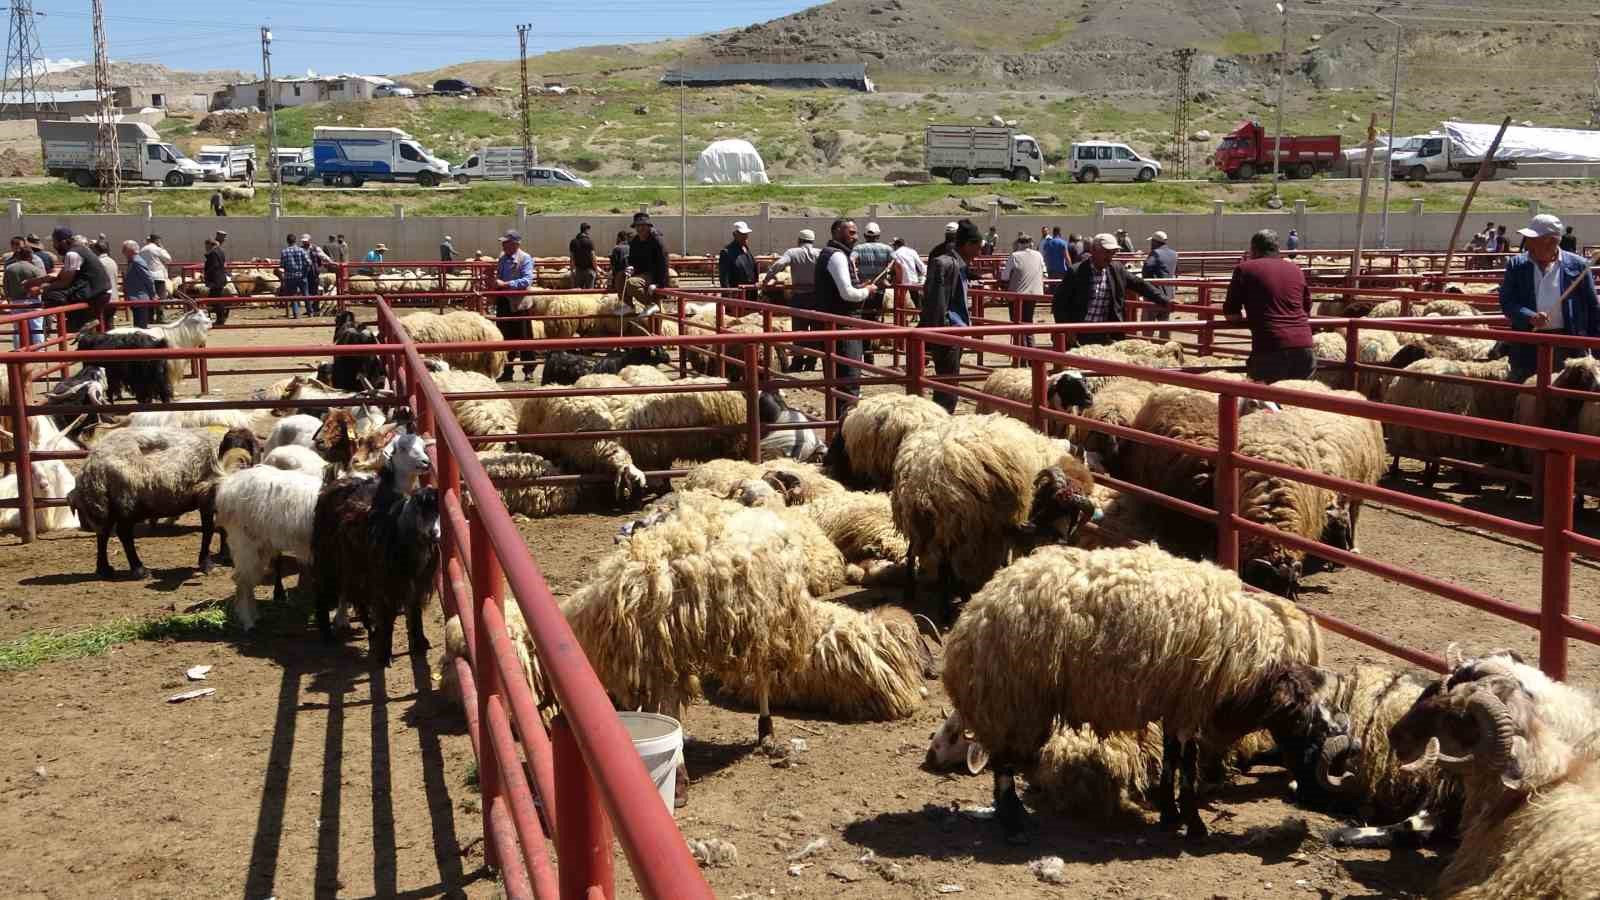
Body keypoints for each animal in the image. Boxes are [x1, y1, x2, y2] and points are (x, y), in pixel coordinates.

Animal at [67, 425, 222, 576]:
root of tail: (90, 464)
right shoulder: (208, 495)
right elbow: (208, 530)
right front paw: (207, 564)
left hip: (107, 503)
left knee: (103, 533)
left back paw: (104, 569)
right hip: (125, 499)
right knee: (123, 533)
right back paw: (139, 569)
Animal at [312, 432, 441, 662]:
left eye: (423, 446)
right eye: (402, 448)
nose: (426, 462)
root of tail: (337, 482)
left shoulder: (413, 581)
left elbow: (414, 610)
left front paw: (420, 642)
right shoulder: (385, 580)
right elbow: (387, 614)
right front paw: (384, 652)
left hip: (353, 562)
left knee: (354, 592)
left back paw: (367, 626)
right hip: (328, 555)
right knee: (324, 589)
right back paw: (329, 632)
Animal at [889, 413, 1100, 614]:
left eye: (1073, 512)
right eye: (1053, 503)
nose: (1061, 539)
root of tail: (923, 477)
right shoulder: (1005, 525)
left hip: (918, 519)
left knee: (913, 552)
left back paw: (911, 592)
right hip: (959, 524)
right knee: (947, 565)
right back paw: (948, 608)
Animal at [934, 544, 1337, 839]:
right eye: (1303, 724)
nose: (1314, 796)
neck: (1247, 669)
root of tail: (972, 615)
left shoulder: (1176, 703)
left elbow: (1174, 758)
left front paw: (1171, 814)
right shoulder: (1190, 704)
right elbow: (1188, 765)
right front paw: (1193, 824)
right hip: (1012, 696)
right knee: (1003, 762)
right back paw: (1013, 821)